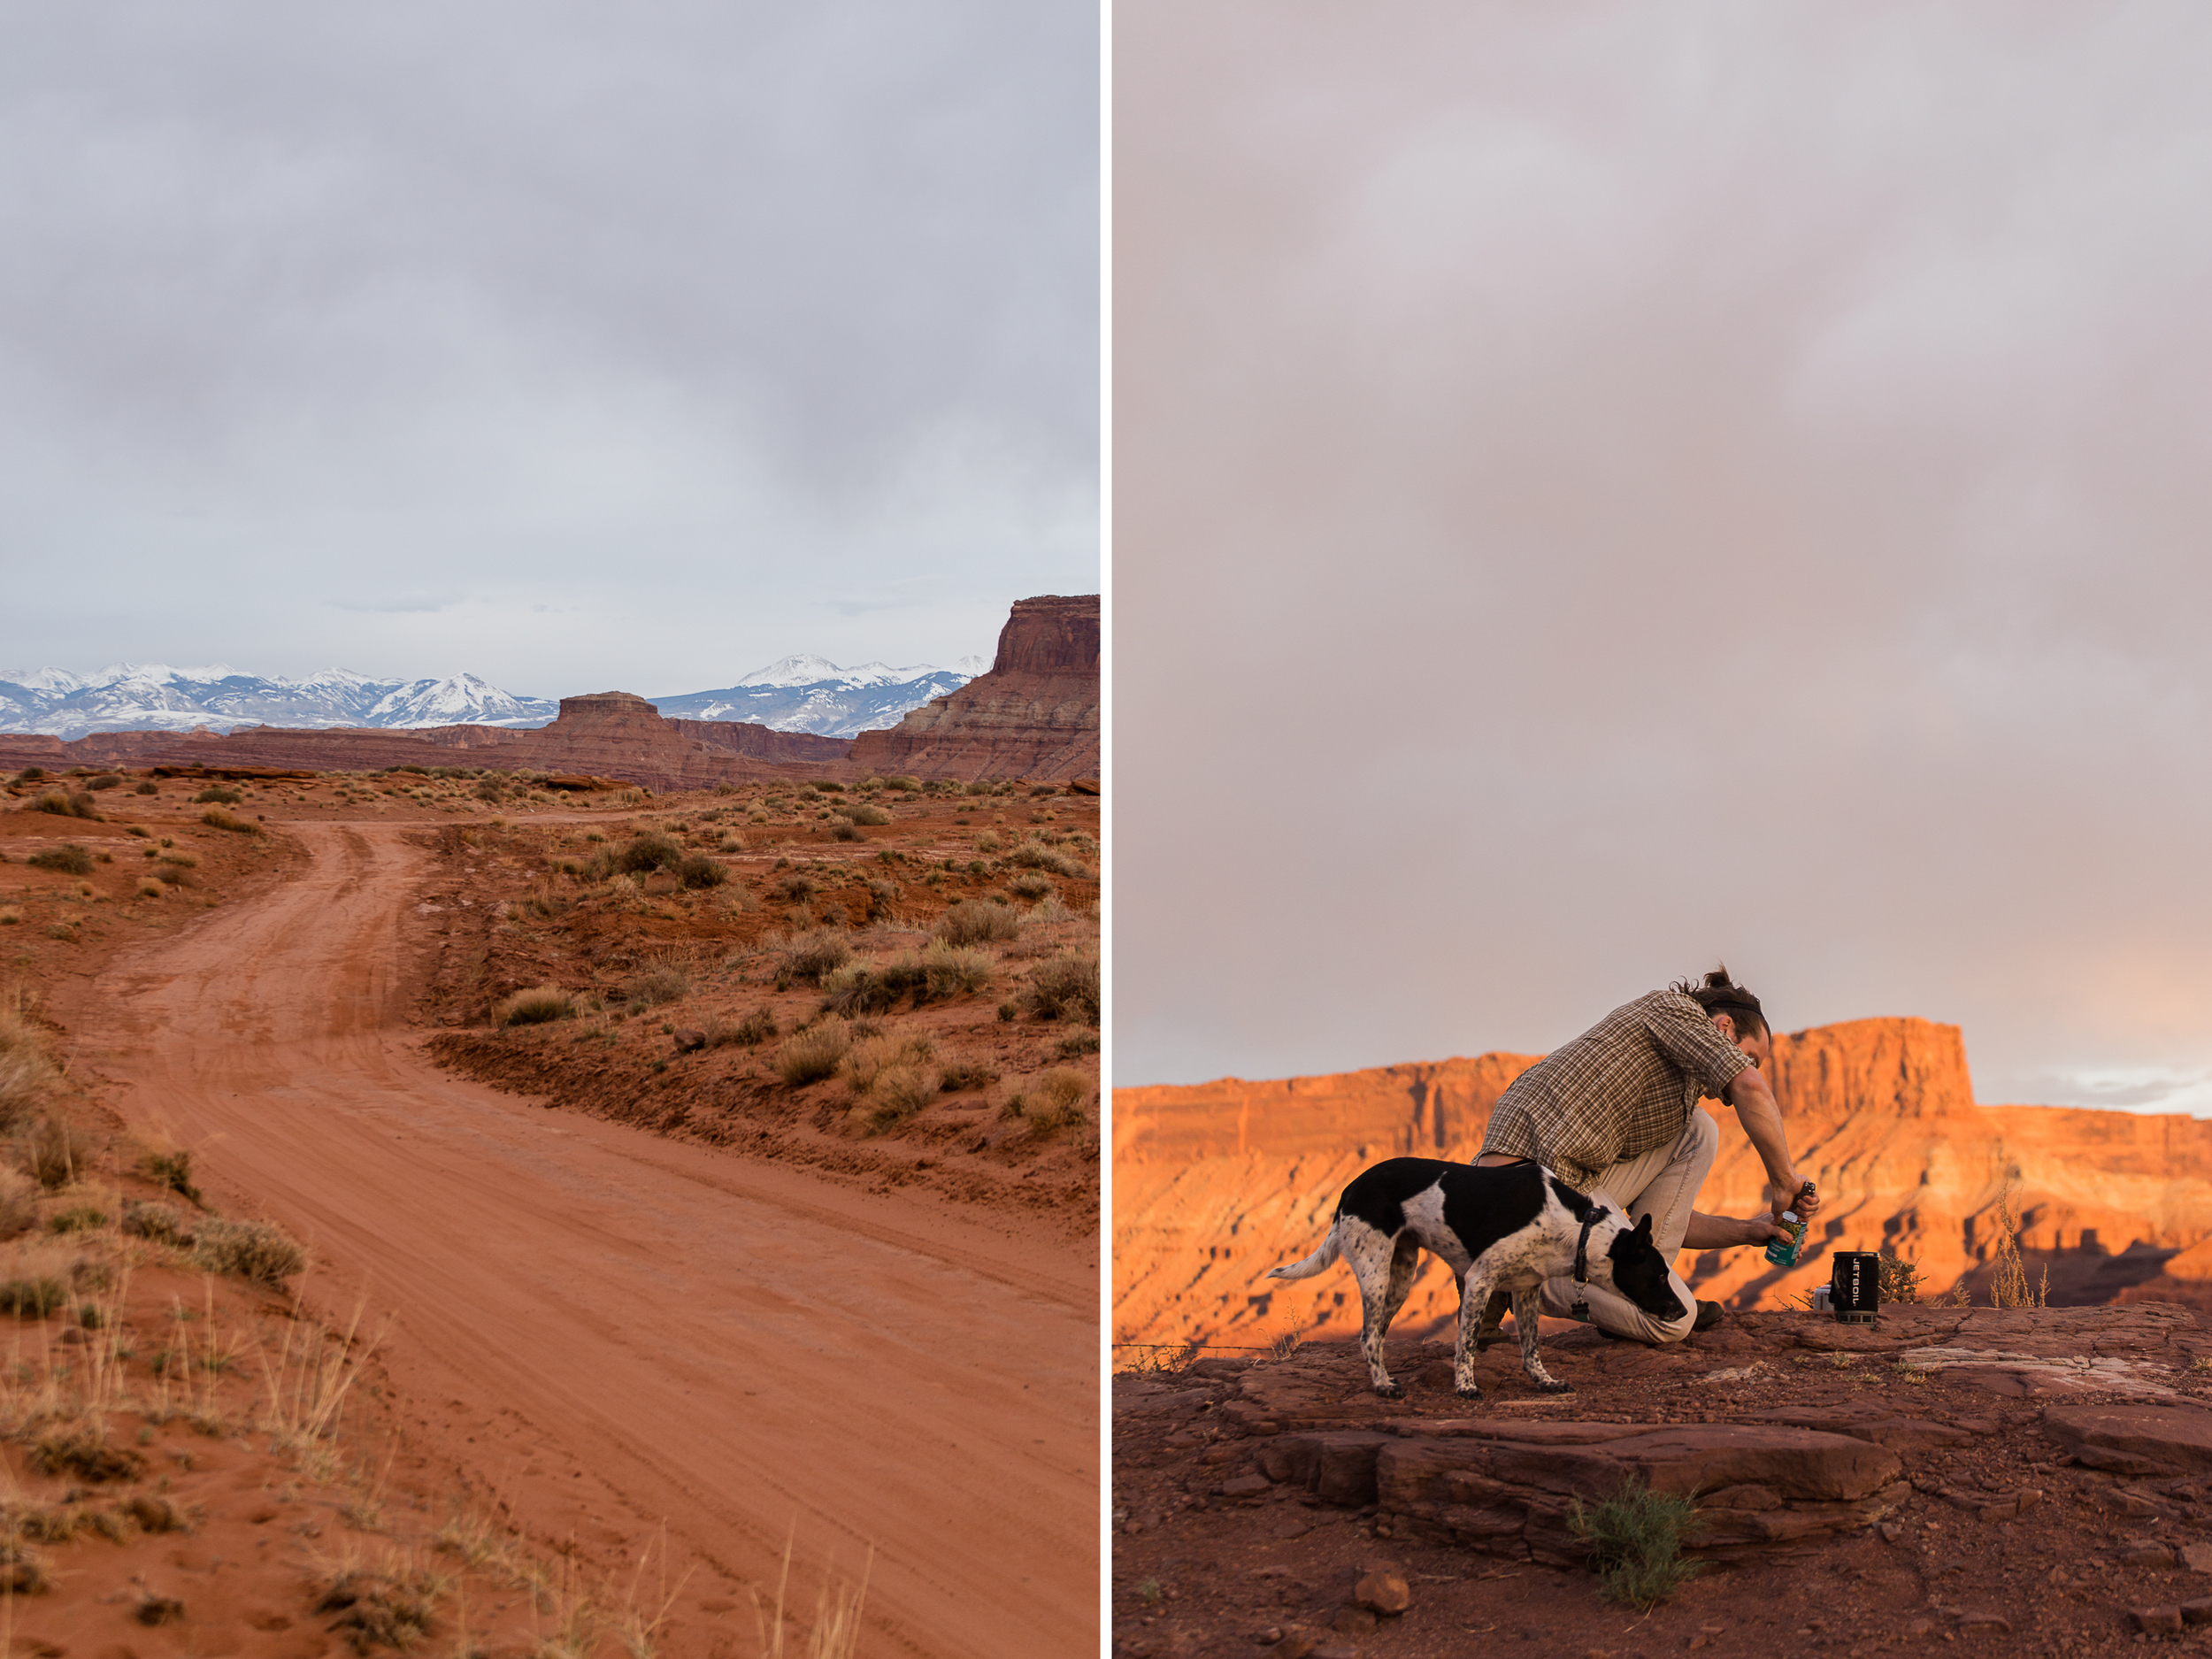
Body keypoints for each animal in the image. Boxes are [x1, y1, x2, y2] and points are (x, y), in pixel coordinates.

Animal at [1274, 1159, 1681, 1407]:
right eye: (1660, 1275)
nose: (1679, 1310)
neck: (1577, 1229)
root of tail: (1350, 1189)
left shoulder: (1527, 1289)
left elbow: (1531, 1348)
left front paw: (1546, 1382)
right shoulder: (1479, 1280)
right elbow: (1467, 1343)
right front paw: (1466, 1386)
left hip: (1401, 1277)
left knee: (1378, 1333)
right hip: (1375, 1272)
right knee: (1369, 1336)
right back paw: (1383, 1385)